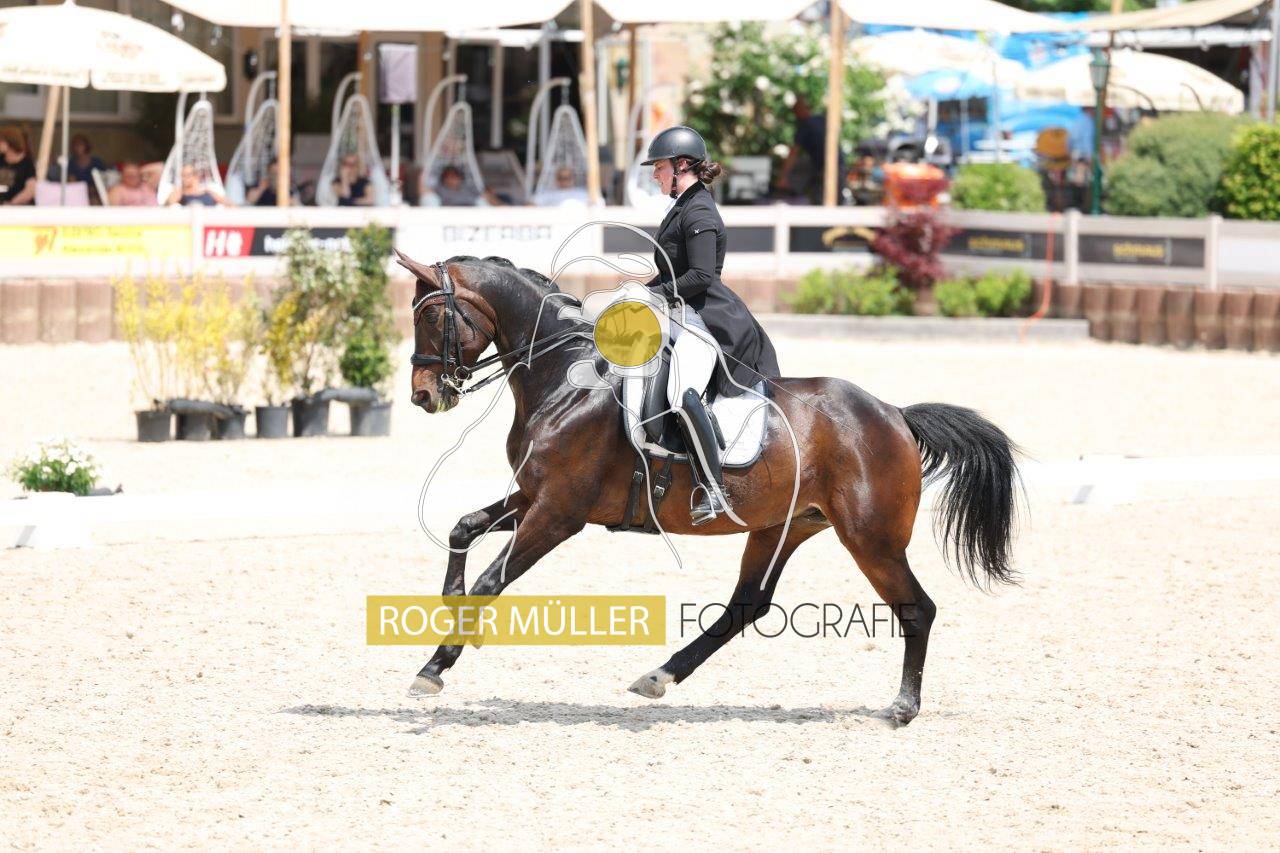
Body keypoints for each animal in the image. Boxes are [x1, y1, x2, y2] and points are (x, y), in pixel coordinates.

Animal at [400, 252, 1022, 726]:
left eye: (432, 318)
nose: (424, 396)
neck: (565, 380)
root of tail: (895, 415)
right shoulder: (534, 497)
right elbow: (462, 530)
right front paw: (446, 612)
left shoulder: (558, 512)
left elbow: (492, 579)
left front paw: (435, 666)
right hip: (782, 528)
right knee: (746, 605)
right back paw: (658, 676)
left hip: (871, 539)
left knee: (918, 610)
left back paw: (902, 707)